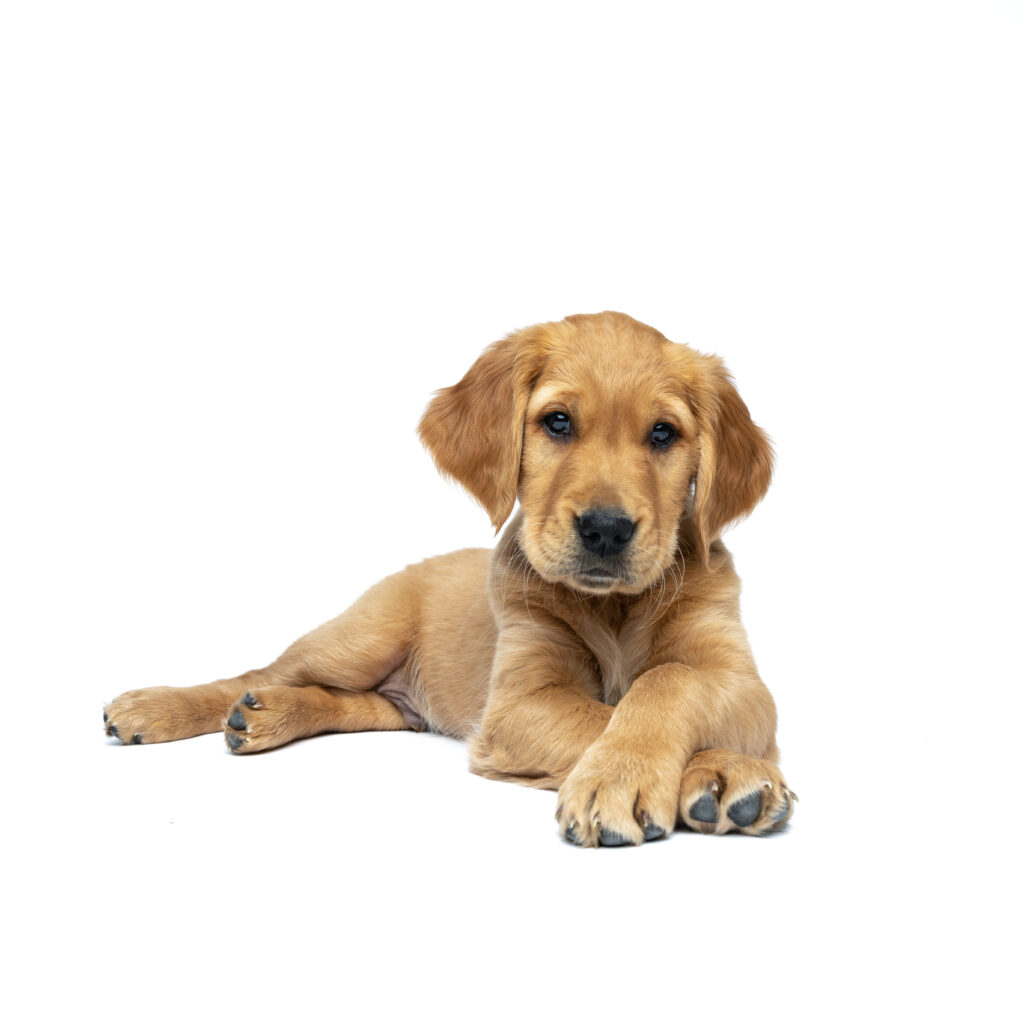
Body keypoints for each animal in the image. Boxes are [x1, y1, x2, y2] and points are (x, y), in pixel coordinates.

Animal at [103, 311, 790, 847]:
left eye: (663, 433)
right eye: (558, 422)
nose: (605, 530)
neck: (615, 608)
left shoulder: (744, 683)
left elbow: (668, 679)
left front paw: (721, 775)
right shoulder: (519, 698)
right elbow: (615, 708)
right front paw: (648, 777)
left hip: (396, 701)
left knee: (357, 705)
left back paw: (265, 716)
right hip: (361, 639)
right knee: (260, 672)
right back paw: (156, 708)